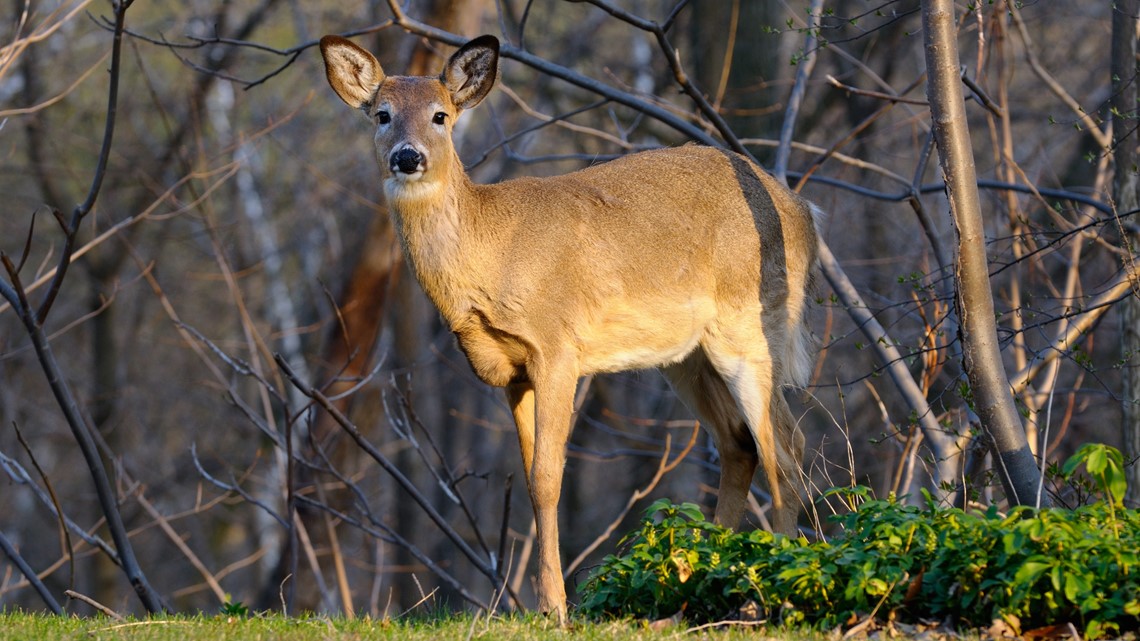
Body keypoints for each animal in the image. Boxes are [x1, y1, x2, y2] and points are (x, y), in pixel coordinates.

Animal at [319, 32, 820, 615]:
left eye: (440, 115)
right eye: (382, 114)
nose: (407, 156)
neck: (489, 251)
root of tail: (803, 211)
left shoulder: (558, 348)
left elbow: (547, 477)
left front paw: (556, 607)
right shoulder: (513, 371)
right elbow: (531, 476)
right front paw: (547, 603)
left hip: (751, 325)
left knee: (786, 449)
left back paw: (776, 590)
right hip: (686, 357)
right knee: (741, 444)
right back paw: (713, 579)